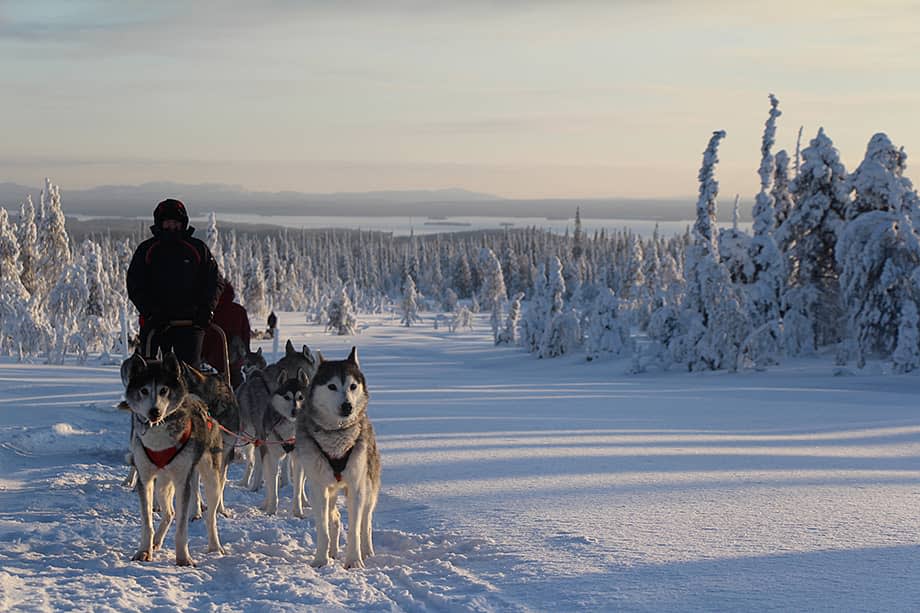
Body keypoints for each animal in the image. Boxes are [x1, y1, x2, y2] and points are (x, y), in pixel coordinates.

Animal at [120, 352, 225, 568]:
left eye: (164, 390)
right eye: (144, 390)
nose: (154, 411)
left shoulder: (183, 482)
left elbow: (182, 528)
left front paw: (183, 558)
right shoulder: (145, 479)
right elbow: (147, 522)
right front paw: (144, 551)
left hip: (211, 481)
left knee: (210, 517)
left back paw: (214, 547)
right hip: (161, 485)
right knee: (169, 513)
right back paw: (157, 541)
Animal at [294, 346, 380, 568]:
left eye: (353, 386)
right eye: (331, 386)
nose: (347, 406)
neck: (337, 437)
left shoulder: (356, 487)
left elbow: (355, 530)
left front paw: (354, 561)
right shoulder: (318, 487)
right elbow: (323, 528)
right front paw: (320, 560)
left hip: (368, 489)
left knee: (365, 523)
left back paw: (367, 551)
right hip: (330, 490)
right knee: (335, 518)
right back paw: (332, 552)